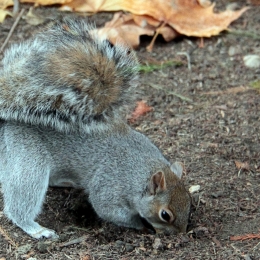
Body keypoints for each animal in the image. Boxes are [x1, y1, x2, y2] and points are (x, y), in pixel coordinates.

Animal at [0, 17, 191, 239]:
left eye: (189, 203)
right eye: (165, 215)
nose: (181, 234)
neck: (142, 171)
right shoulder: (110, 188)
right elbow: (108, 210)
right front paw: (142, 226)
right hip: (28, 158)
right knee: (21, 201)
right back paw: (36, 229)